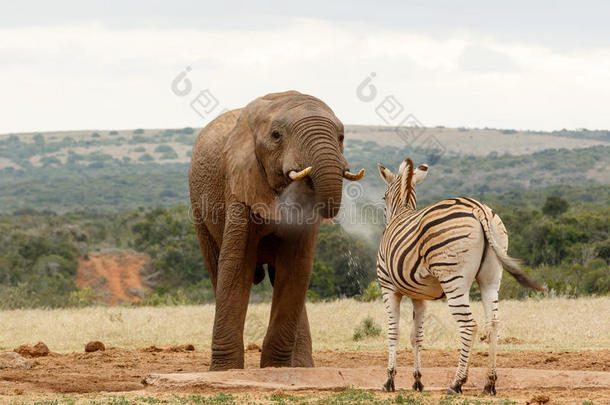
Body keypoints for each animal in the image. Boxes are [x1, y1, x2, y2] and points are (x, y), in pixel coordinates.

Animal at [188, 90, 364, 370]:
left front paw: (275, 368)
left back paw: (301, 366)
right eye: (276, 135)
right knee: (216, 266)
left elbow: (296, 267)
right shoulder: (240, 181)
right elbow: (236, 264)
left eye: (341, 137)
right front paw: (226, 370)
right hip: (198, 209)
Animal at [376, 156, 540, 392]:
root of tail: (478, 208)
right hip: (491, 278)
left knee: (469, 325)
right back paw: (490, 382)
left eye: (383, 197)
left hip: (453, 279)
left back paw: (457, 382)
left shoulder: (388, 288)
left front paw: (389, 380)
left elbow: (393, 333)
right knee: (493, 323)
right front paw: (417, 381)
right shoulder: (419, 297)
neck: (402, 211)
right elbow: (416, 336)